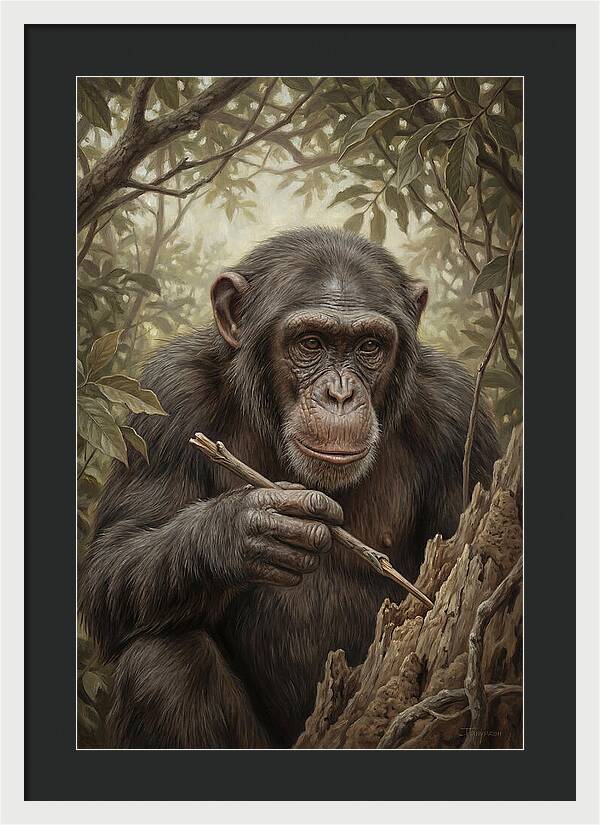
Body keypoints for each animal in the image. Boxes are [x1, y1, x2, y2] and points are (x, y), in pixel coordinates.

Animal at [78, 227, 499, 748]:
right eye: (310, 343)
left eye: (369, 347)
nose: (339, 394)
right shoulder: (167, 395)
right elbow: (111, 562)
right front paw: (245, 531)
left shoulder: (460, 416)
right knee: (161, 661)